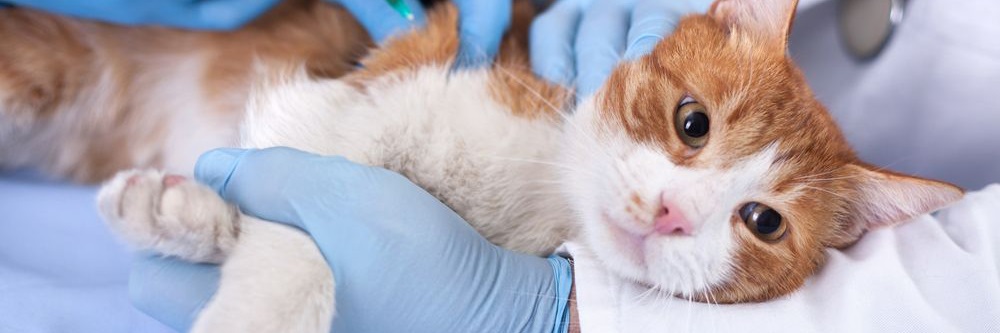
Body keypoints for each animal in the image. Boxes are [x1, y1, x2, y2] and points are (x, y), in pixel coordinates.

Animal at [3, 0, 964, 332]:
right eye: (692, 123)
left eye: (762, 221)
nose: (670, 212)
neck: (539, 186)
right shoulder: (368, 98)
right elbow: (302, 233)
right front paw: (252, 309)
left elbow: (280, 211)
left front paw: (184, 214)